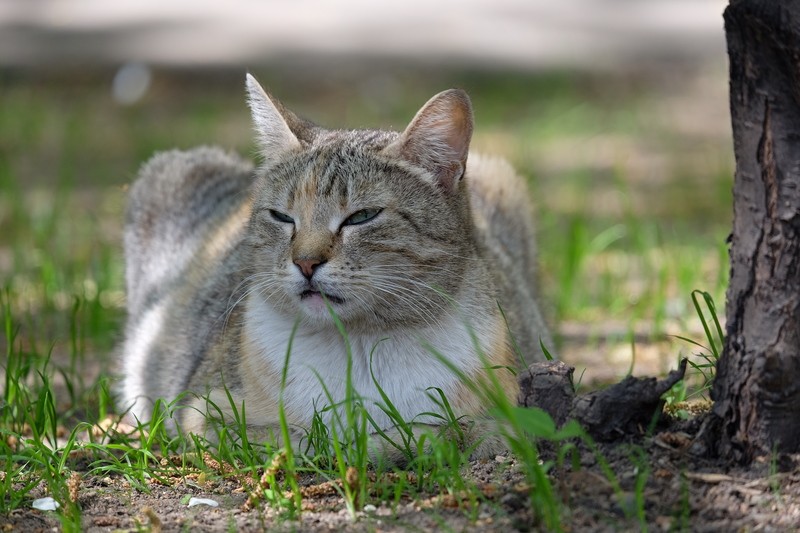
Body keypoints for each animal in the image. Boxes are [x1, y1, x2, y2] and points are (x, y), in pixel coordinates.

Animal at [119, 72, 552, 460]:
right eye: (282, 217)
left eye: (361, 217)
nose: (305, 262)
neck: (357, 348)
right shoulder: (205, 414)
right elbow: (314, 438)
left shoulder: (514, 412)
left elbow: (454, 433)